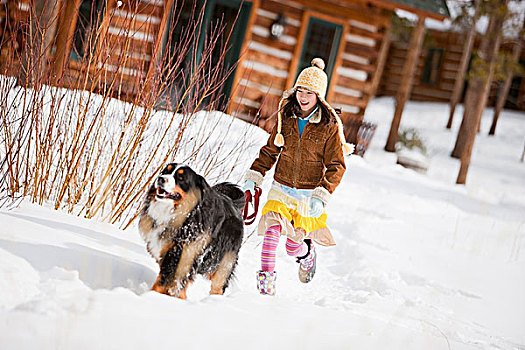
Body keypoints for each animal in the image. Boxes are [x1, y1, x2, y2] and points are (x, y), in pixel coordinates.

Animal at [139, 163, 246, 300]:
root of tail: (234, 204)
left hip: (223, 264)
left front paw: (152, 296)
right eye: (165, 171)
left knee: (218, 286)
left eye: (181, 178)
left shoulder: (181, 255)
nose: (161, 178)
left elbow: (164, 282)